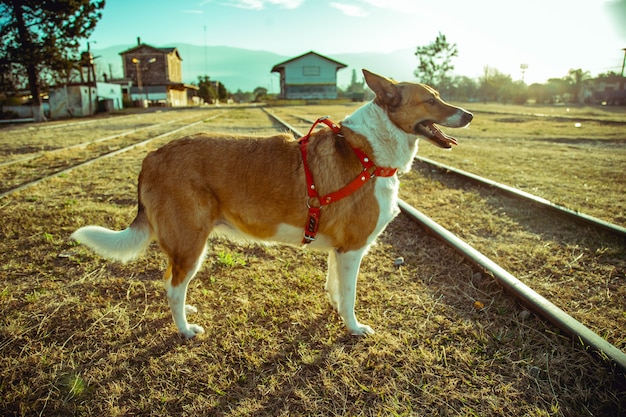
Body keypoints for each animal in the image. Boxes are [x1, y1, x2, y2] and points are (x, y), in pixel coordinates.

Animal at [70, 70, 470, 338]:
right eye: (431, 99)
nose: (468, 115)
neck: (368, 154)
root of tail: (152, 157)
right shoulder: (353, 250)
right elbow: (351, 295)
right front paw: (354, 327)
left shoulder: (339, 250)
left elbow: (335, 288)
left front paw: (336, 310)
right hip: (190, 243)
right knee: (172, 286)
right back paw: (185, 329)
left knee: (172, 283)